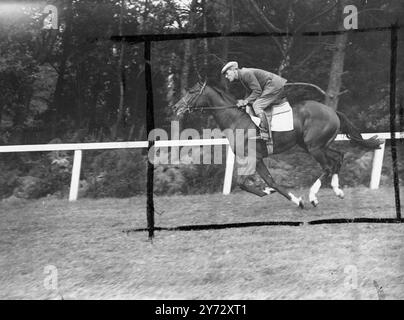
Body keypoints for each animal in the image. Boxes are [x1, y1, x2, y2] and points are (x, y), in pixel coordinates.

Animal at [174, 80, 382, 208]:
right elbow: (269, 181)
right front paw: (287, 196)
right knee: (338, 157)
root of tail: (332, 111)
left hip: (314, 147)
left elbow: (242, 183)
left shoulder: (251, 158)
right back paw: (337, 191)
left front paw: (292, 198)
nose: (176, 107)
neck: (236, 119)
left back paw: (313, 196)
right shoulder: (258, 159)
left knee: (328, 166)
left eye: (191, 92)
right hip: (314, 146)